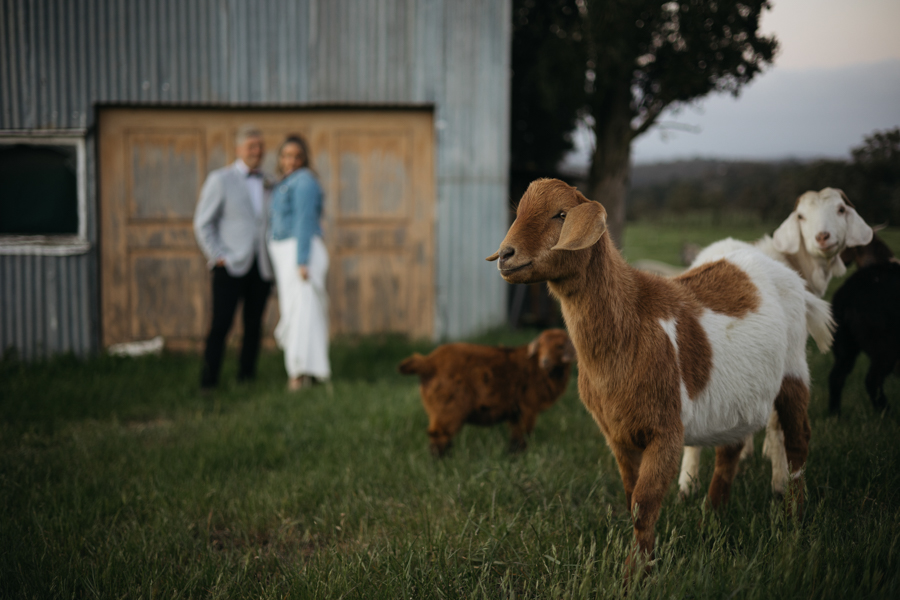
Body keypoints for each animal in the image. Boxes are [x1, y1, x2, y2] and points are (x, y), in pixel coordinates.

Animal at [400, 328, 576, 454]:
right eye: (541, 346)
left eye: (560, 346)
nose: (545, 362)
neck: (536, 368)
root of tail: (428, 362)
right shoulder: (527, 407)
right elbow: (522, 434)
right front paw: (519, 455)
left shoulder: (516, 411)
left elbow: (516, 433)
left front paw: (512, 454)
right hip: (448, 406)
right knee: (438, 434)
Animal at [488, 178, 832, 564]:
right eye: (519, 211)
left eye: (561, 214)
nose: (506, 254)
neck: (633, 322)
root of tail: (787, 275)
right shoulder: (617, 434)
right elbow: (631, 497)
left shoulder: (666, 430)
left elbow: (644, 504)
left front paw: (638, 570)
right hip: (738, 396)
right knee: (730, 448)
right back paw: (712, 518)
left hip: (794, 368)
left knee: (798, 440)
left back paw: (794, 518)